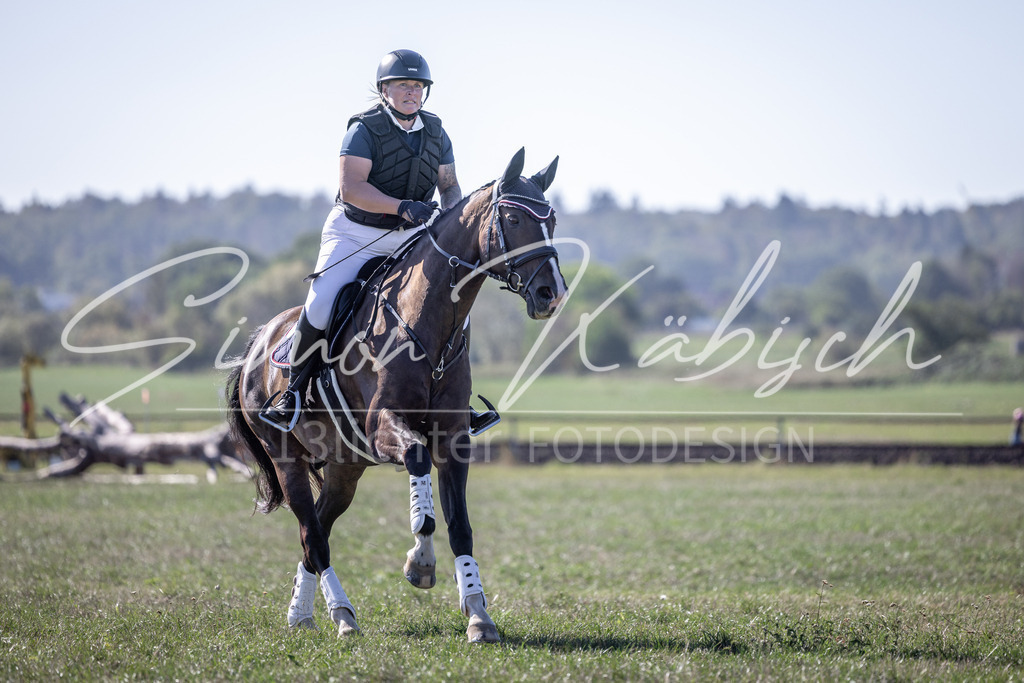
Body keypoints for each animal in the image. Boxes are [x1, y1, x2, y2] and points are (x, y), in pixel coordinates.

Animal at [225, 148, 566, 643]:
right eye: (513, 218)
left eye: (552, 220)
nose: (550, 293)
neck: (427, 321)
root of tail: (255, 346)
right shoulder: (385, 424)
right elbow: (420, 478)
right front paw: (420, 563)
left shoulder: (453, 437)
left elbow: (460, 525)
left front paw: (478, 615)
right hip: (288, 458)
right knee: (313, 535)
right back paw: (343, 615)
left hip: (346, 467)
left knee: (317, 530)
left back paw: (302, 613)